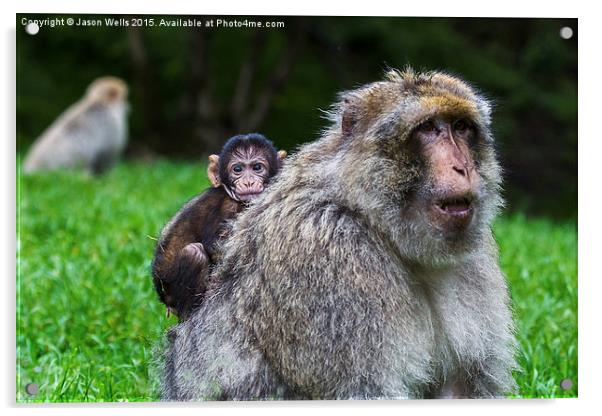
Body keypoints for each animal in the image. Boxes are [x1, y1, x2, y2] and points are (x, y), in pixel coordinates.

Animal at [151, 133, 284, 322]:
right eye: (237, 169)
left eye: (257, 167)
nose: (248, 181)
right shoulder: (226, 206)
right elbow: (216, 244)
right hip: (170, 290)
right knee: (194, 253)